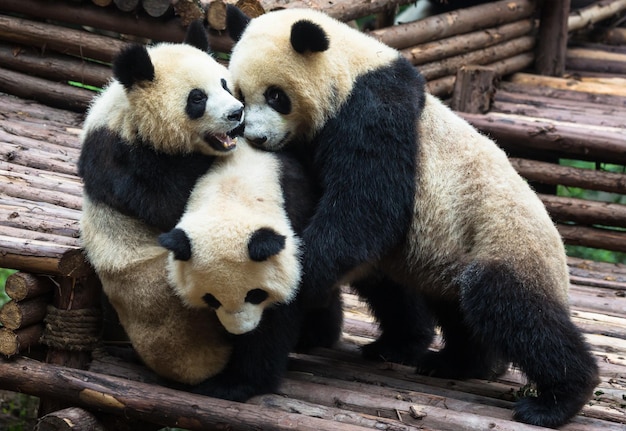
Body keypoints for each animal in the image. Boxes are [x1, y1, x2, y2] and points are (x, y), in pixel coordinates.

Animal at [78, 22, 342, 402]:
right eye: (197, 98)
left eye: (224, 84)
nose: (236, 114)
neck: (125, 114)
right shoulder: (121, 157)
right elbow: (167, 197)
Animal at [225, 7, 600, 428]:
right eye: (240, 96)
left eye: (276, 96)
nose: (256, 138)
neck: (351, 66)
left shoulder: (372, 111)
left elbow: (368, 208)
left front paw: (298, 282)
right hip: (445, 257)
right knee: (442, 303)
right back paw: (444, 358)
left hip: (506, 240)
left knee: (509, 304)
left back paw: (557, 399)